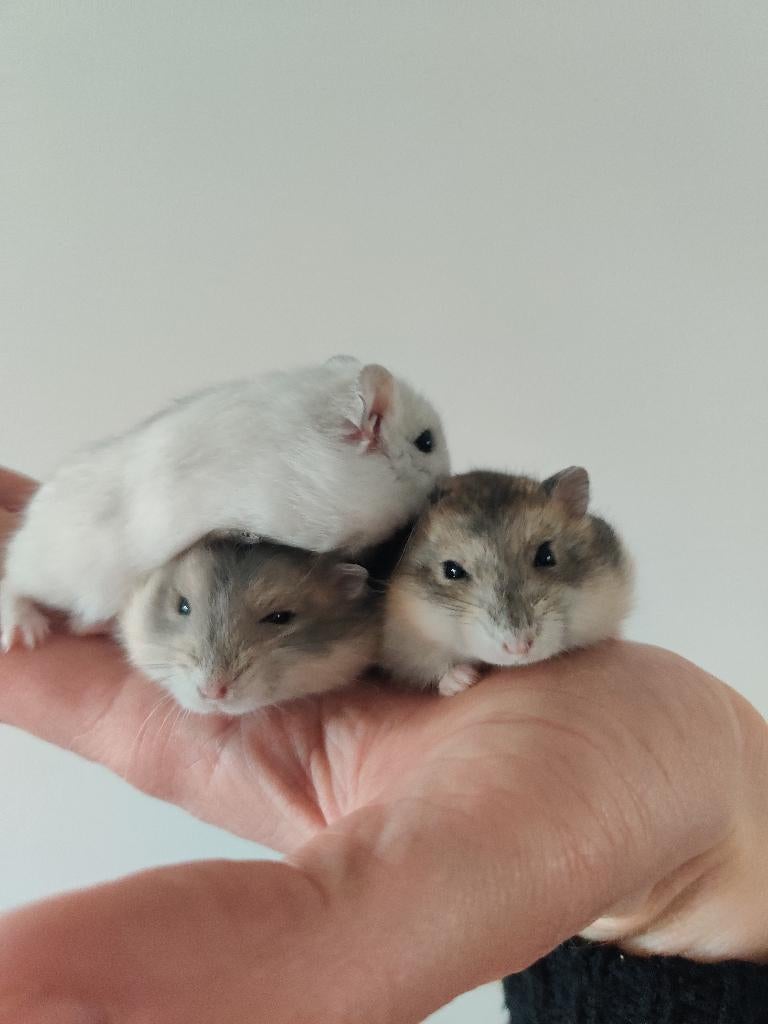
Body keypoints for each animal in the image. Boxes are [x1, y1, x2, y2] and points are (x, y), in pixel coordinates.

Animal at [1, 355, 449, 649]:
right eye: (426, 441)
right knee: (13, 580)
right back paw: (26, 632)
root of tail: (29, 530)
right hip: (64, 574)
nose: (446, 477)